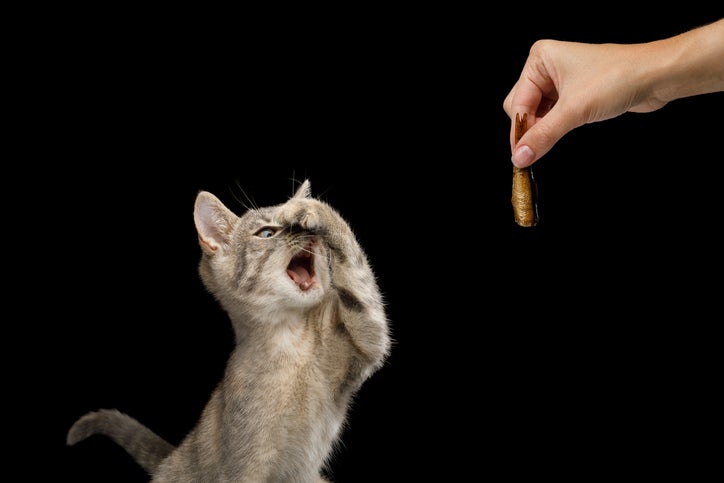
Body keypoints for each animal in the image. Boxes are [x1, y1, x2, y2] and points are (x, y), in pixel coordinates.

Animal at [69, 180, 390, 482]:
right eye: (266, 233)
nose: (306, 233)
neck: (291, 342)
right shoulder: (244, 470)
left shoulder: (367, 341)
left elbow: (358, 271)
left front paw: (309, 208)